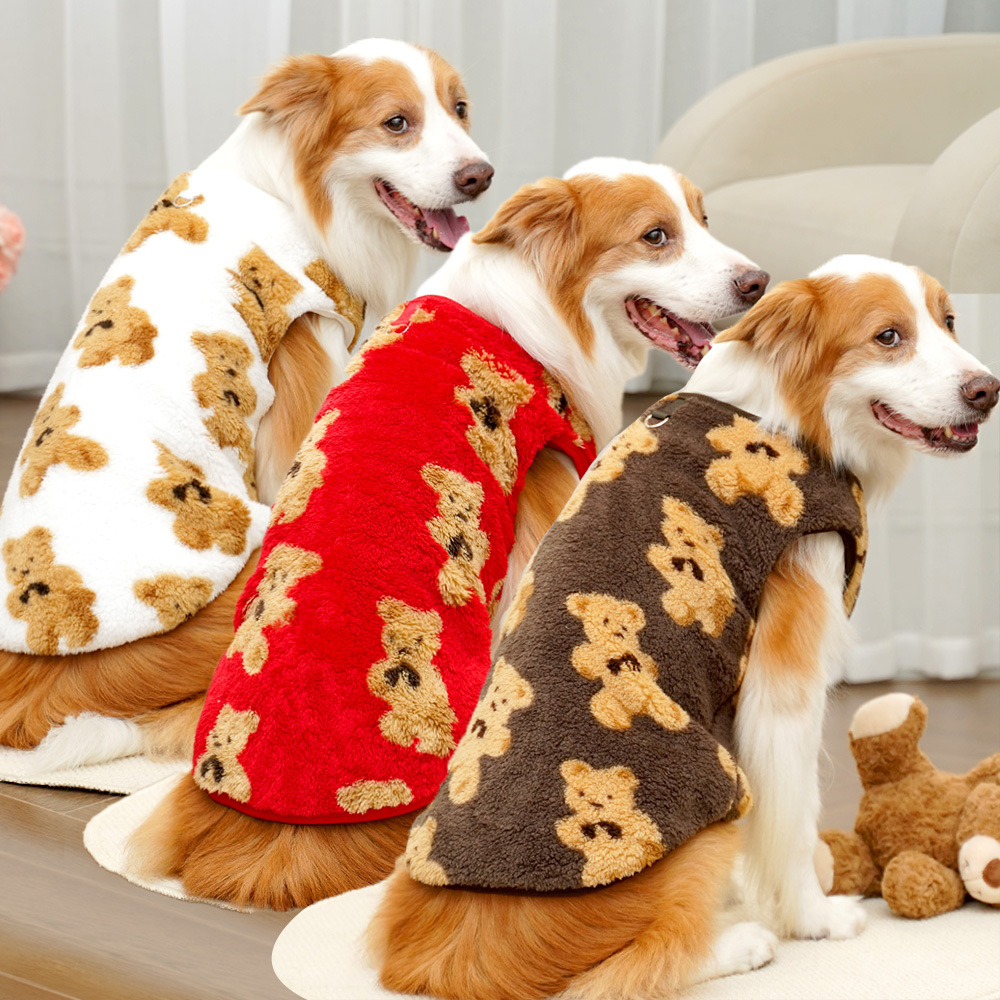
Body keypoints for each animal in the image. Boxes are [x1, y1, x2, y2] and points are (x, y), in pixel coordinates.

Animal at [2, 526, 99, 655]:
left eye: (32, 559)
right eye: (13, 569)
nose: (24, 571)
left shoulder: (57, 574)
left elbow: (70, 577)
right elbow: (14, 607)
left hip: (73, 616)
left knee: (78, 625)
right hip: (38, 627)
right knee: (39, 636)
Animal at [565, 591, 690, 732]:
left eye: (625, 628)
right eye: (605, 621)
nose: (618, 633)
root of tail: (640, 709)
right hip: (613, 699)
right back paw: (618, 721)